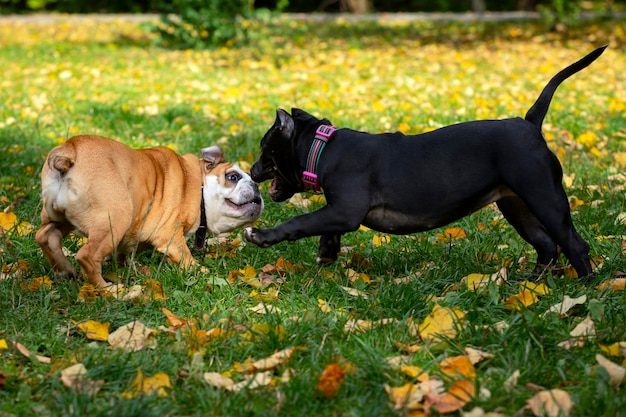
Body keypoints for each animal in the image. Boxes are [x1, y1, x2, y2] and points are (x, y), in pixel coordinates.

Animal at [244, 45, 604, 280]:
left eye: (263, 147)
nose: (250, 170)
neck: (323, 149)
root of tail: (529, 124)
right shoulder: (338, 212)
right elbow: (325, 232)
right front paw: (327, 254)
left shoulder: (344, 211)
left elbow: (301, 221)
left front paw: (262, 235)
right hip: (517, 206)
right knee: (547, 246)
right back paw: (531, 286)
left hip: (545, 197)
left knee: (574, 244)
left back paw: (583, 291)